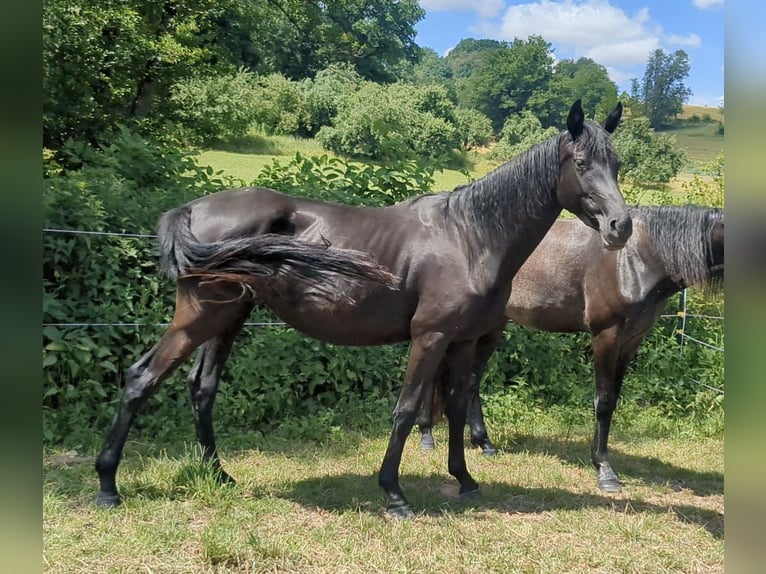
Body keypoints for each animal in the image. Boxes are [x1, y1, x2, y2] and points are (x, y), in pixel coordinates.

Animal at [95, 100, 632, 519]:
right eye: (581, 162)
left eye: (618, 165)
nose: (620, 226)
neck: (470, 236)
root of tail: (192, 209)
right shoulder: (430, 337)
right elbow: (407, 409)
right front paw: (394, 494)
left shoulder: (461, 341)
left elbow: (458, 408)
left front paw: (464, 479)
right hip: (200, 317)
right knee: (142, 378)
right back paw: (107, 487)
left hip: (227, 318)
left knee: (201, 389)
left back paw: (218, 474)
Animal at [417, 204, 724, 493]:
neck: (637, 258)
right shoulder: (606, 336)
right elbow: (603, 401)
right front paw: (604, 470)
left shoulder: (631, 341)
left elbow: (613, 400)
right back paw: (427, 437)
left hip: (492, 326)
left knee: (471, 381)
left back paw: (484, 443)